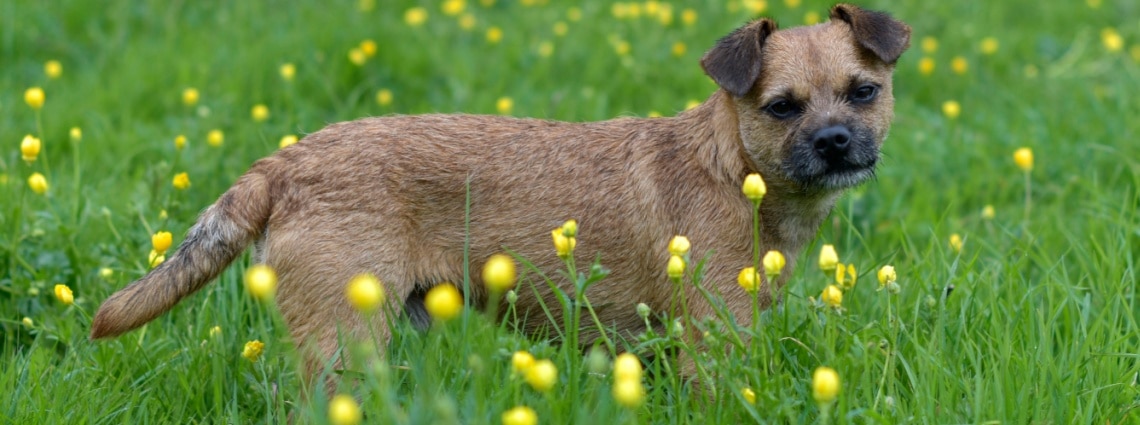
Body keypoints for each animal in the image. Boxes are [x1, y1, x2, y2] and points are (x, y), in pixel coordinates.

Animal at [91, 2, 907, 380]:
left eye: (863, 92)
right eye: (782, 108)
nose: (836, 141)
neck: (735, 170)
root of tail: (283, 165)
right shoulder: (714, 342)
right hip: (346, 340)